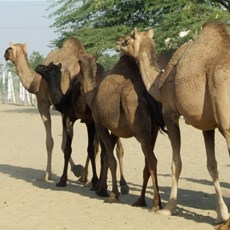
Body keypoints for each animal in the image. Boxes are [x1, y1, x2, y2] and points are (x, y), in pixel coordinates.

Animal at [35, 61, 129, 194]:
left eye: (48, 67)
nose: (38, 66)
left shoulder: (87, 120)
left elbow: (90, 150)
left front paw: (94, 181)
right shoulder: (72, 118)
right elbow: (69, 149)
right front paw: (63, 180)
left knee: (108, 149)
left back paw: (107, 186)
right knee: (110, 148)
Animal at [78, 52, 166, 210]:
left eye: (79, 63)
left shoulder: (100, 124)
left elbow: (110, 158)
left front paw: (112, 194)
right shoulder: (114, 131)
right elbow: (107, 156)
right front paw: (102, 189)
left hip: (139, 129)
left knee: (152, 160)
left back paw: (155, 203)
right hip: (153, 130)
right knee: (147, 162)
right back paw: (141, 201)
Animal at [117, 20, 230, 224]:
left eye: (128, 38)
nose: (117, 42)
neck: (158, 83)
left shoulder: (170, 113)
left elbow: (175, 163)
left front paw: (168, 208)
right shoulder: (206, 123)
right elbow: (212, 165)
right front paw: (221, 214)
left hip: (226, 121)